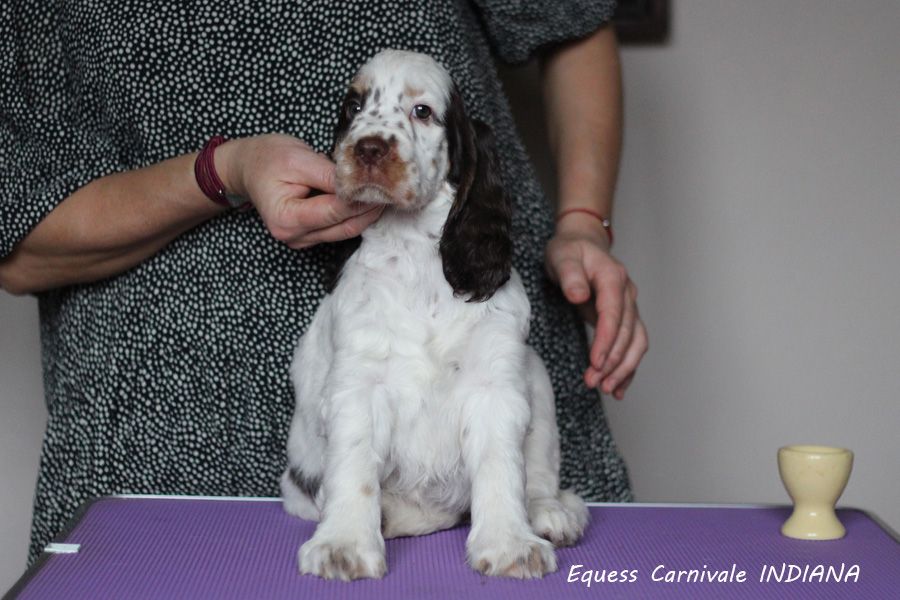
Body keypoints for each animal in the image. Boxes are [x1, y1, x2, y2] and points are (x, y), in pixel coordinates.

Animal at [284, 50, 592, 580]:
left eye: (422, 112)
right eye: (353, 106)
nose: (367, 149)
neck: (416, 257)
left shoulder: (494, 387)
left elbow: (500, 468)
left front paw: (510, 544)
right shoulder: (358, 387)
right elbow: (353, 465)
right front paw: (343, 544)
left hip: (537, 379)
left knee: (538, 474)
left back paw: (552, 512)